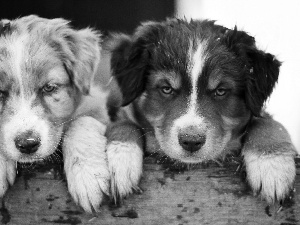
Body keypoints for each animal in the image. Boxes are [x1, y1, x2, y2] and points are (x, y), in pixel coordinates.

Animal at [105, 18, 296, 203]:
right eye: (166, 89)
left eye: (220, 91)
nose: (191, 141)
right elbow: (123, 124)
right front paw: (119, 158)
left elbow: (267, 122)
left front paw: (271, 163)